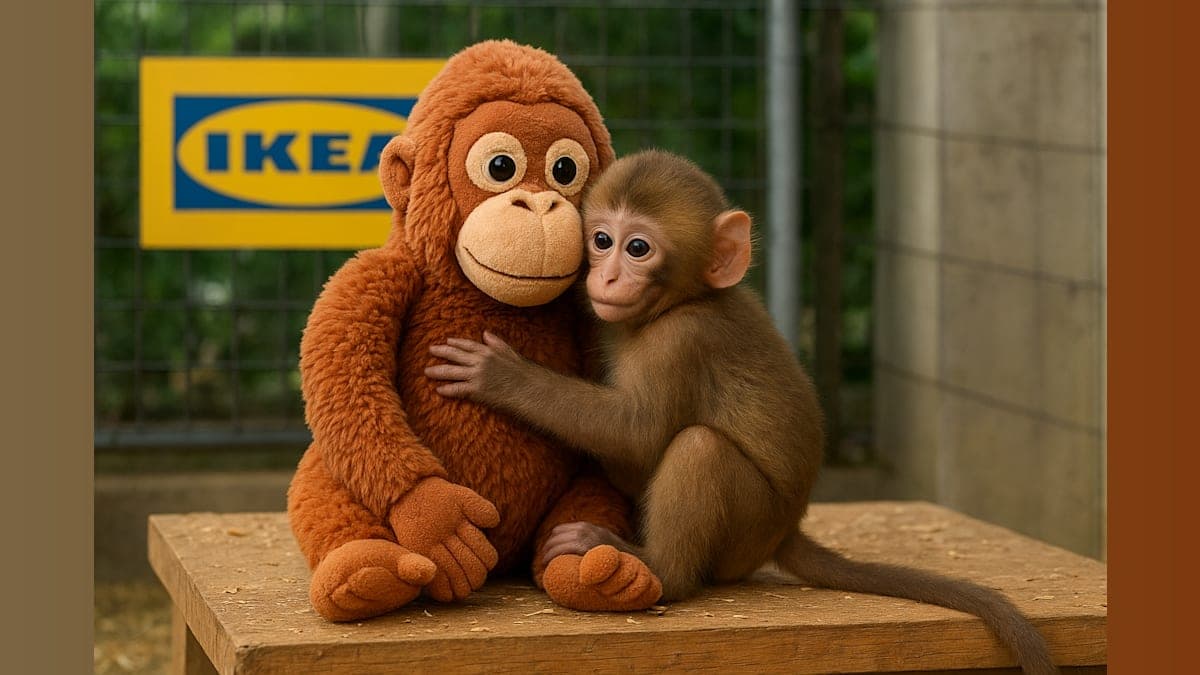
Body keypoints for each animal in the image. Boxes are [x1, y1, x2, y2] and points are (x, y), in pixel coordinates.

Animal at [426, 149, 1058, 674]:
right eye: (600, 239)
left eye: (637, 248)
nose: (606, 276)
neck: (679, 303)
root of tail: (787, 527)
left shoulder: (682, 341)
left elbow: (637, 433)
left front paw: (503, 376)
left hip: (750, 526)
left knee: (699, 447)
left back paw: (657, 568)